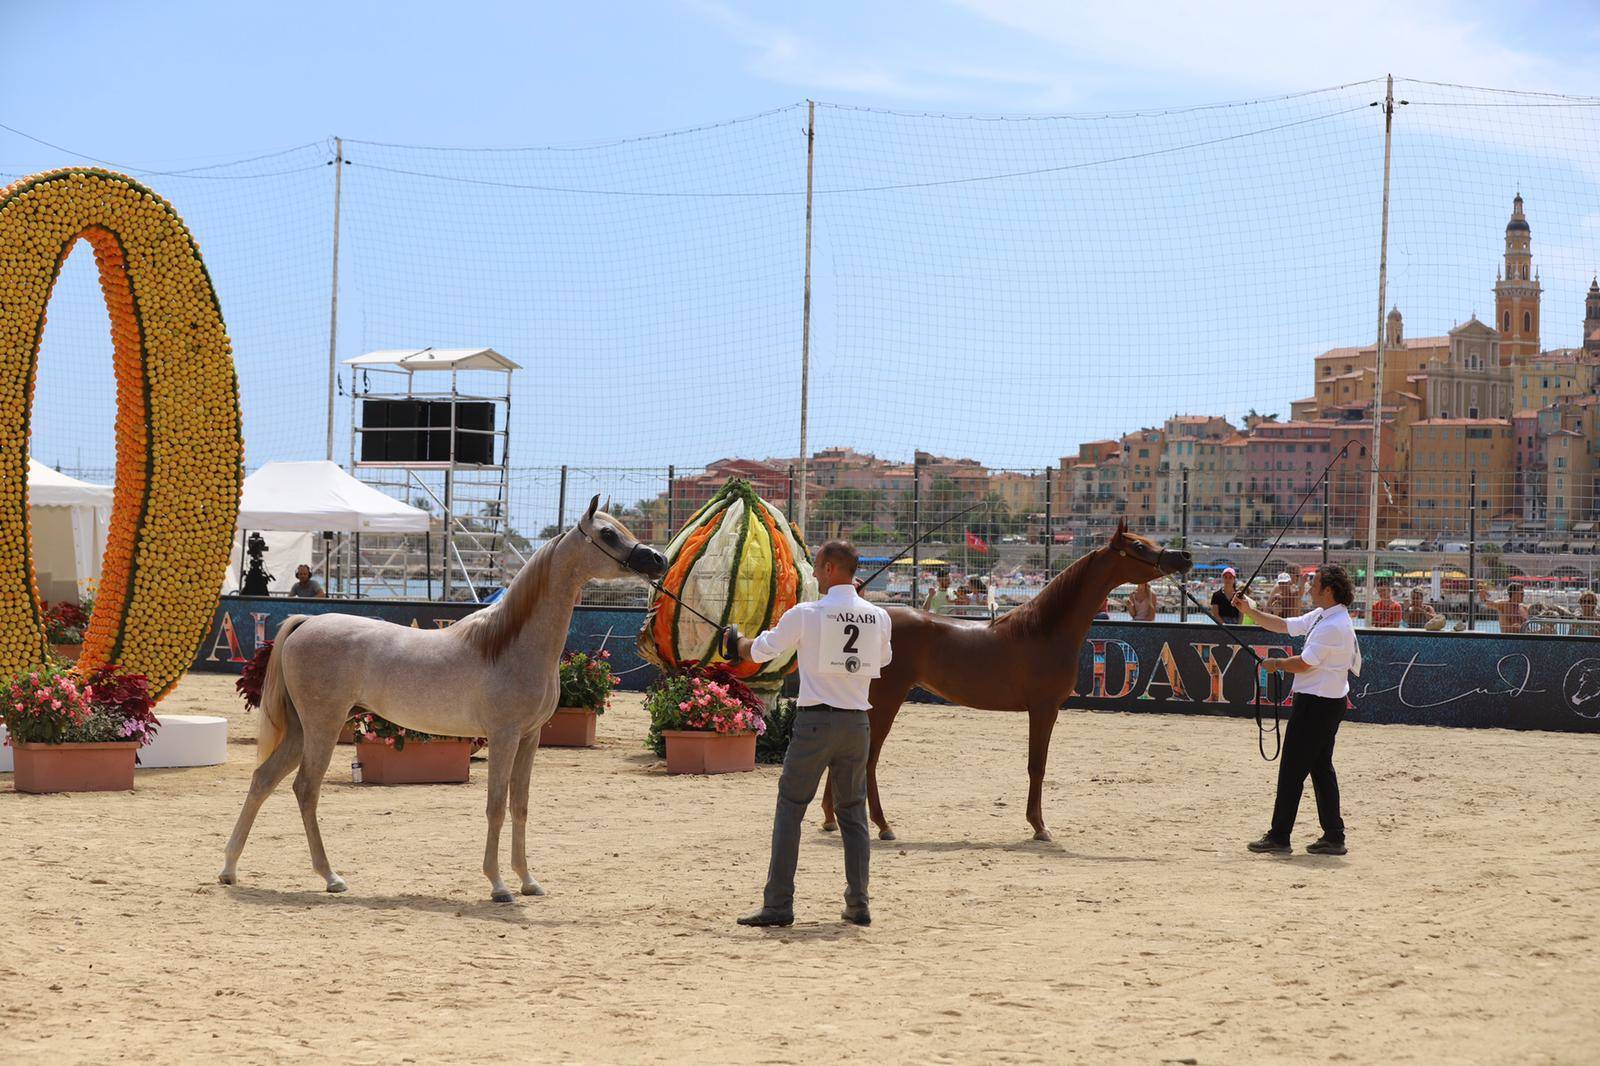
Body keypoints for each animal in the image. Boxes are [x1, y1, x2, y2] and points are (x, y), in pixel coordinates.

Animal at [219, 495, 666, 902]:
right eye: (607, 534)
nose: (658, 561)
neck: (510, 643)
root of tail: (307, 621)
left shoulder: (529, 738)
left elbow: (520, 805)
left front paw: (528, 881)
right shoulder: (503, 737)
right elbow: (496, 805)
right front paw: (499, 886)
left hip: (301, 728)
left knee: (263, 780)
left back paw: (230, 869)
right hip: (322, 726)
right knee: (305, 789)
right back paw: (330, 877)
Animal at [820, 520, 1191, 842]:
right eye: (1138, 546)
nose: (1184, 557)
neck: (1044, 630)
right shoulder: (1043, 709)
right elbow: (1037, 766)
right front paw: (1039, 827)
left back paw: (830, 818)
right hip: (886, 700)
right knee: (868, 759)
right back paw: (883, 825)